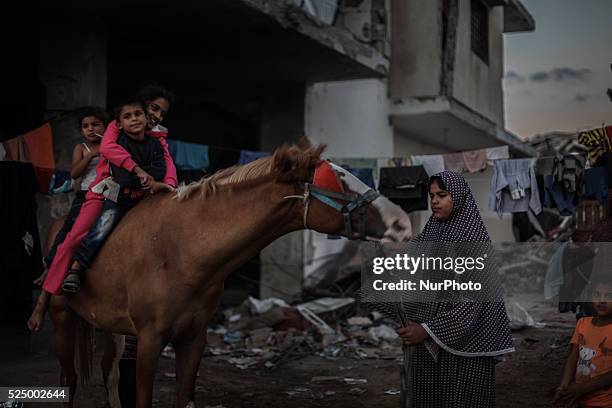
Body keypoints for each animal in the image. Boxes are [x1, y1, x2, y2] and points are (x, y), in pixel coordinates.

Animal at [47, 139, 412, 404]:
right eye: (339, 180)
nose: (402, 223)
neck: (184, 248)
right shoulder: (150, 338)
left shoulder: (194, 337)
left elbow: (183, 398)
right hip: (62, 314)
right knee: (69, 380)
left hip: (112, 325)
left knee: (108, 374)